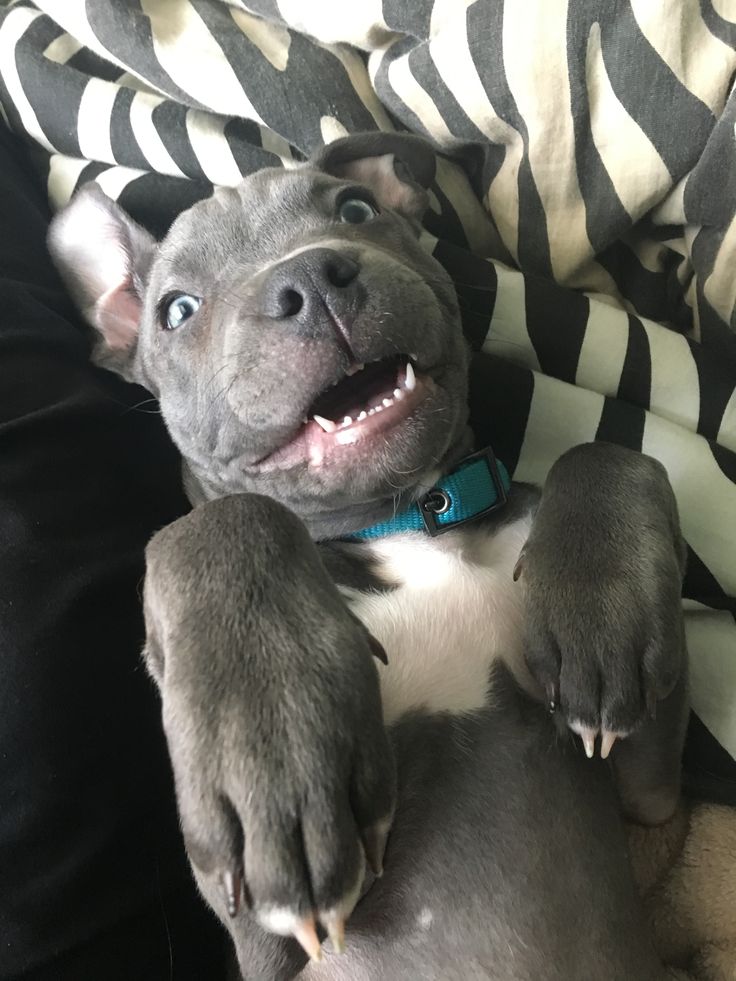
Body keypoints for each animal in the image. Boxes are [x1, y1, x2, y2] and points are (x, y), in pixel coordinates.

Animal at [49, 132, 688, 980]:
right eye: (176, 310)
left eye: (354, 209)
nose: (310, 279)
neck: (410, 522)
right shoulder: (267, 933)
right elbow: (224, 516)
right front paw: (279, 760)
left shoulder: (649, 790)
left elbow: (607, 452)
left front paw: (601, 614)